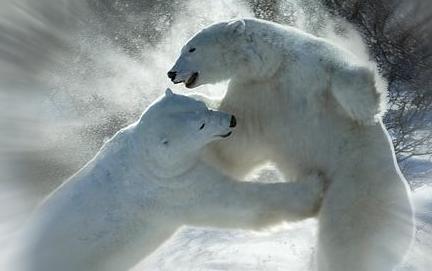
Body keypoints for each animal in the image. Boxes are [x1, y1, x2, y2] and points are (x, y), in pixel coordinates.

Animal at [18, 90, 326, 271]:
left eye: (201, 106)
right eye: (200, 125)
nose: (231, 120)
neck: (144, 158)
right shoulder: (173, 188)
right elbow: (236, 202)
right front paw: (314, 187)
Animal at [169, 19, 416, 271]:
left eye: (191, 48)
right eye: (185, 48)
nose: (171, 73)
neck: (272, 64)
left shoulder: (314, 62)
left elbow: (347, 72)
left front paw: (366, 112)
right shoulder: (256, 94)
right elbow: (237, 145)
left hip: (359, 194)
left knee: (351, 242)